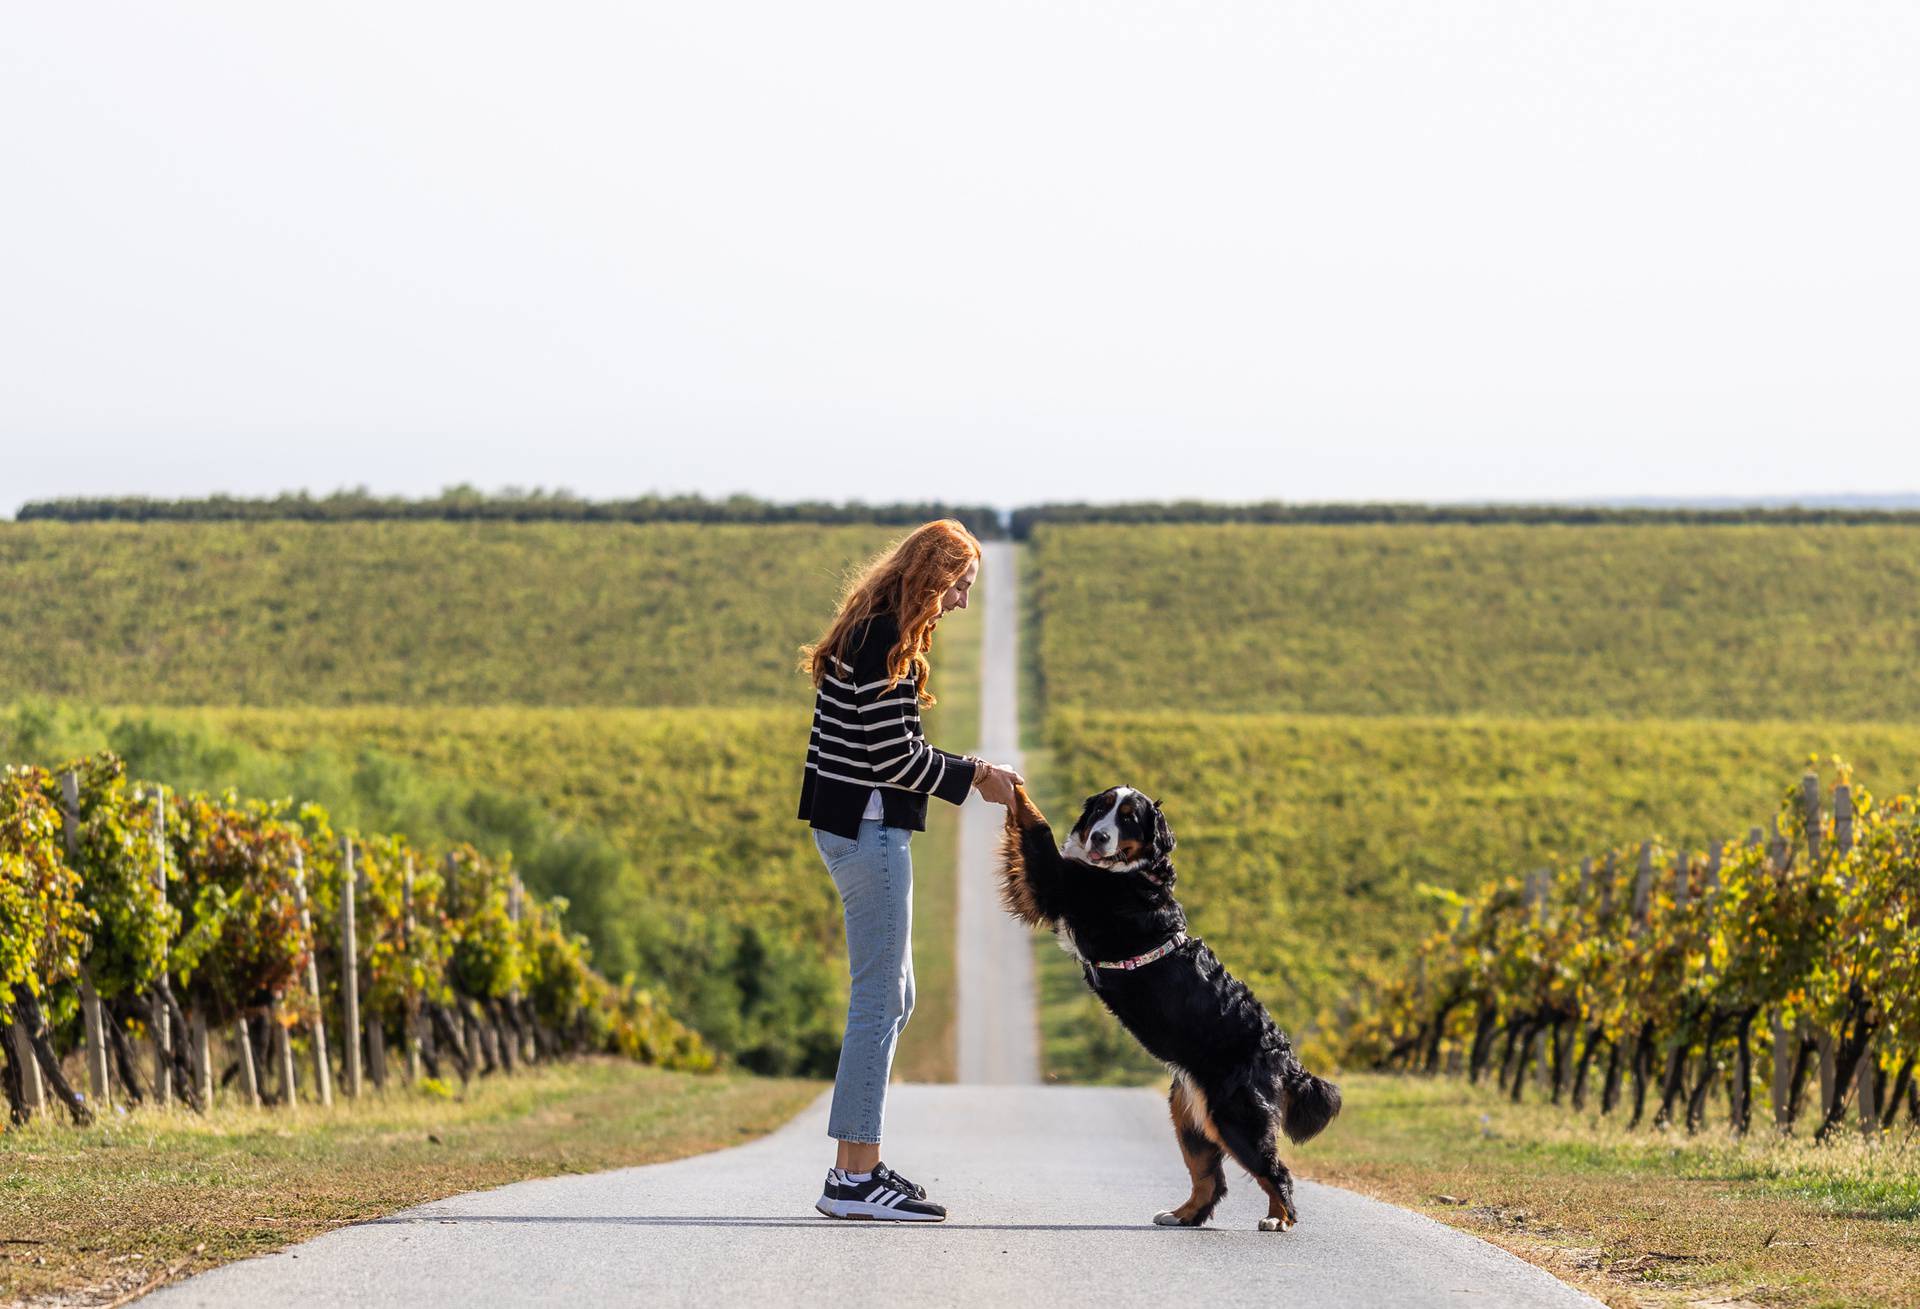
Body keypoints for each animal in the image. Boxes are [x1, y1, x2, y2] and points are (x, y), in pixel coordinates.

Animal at [998, 779, 1344, 1228]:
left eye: (1129, 819)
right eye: (1101, 810)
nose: (1099, 837)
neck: (1127, 873)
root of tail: (1282, 1051)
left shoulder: (1057, 881)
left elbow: (1037, 824)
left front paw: (1010, 784)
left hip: (1236, 1117)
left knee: (1274, 1171)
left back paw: (1277, 1218)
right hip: (1190, 1114)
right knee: (1210, 1179)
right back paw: (1182, 1215)